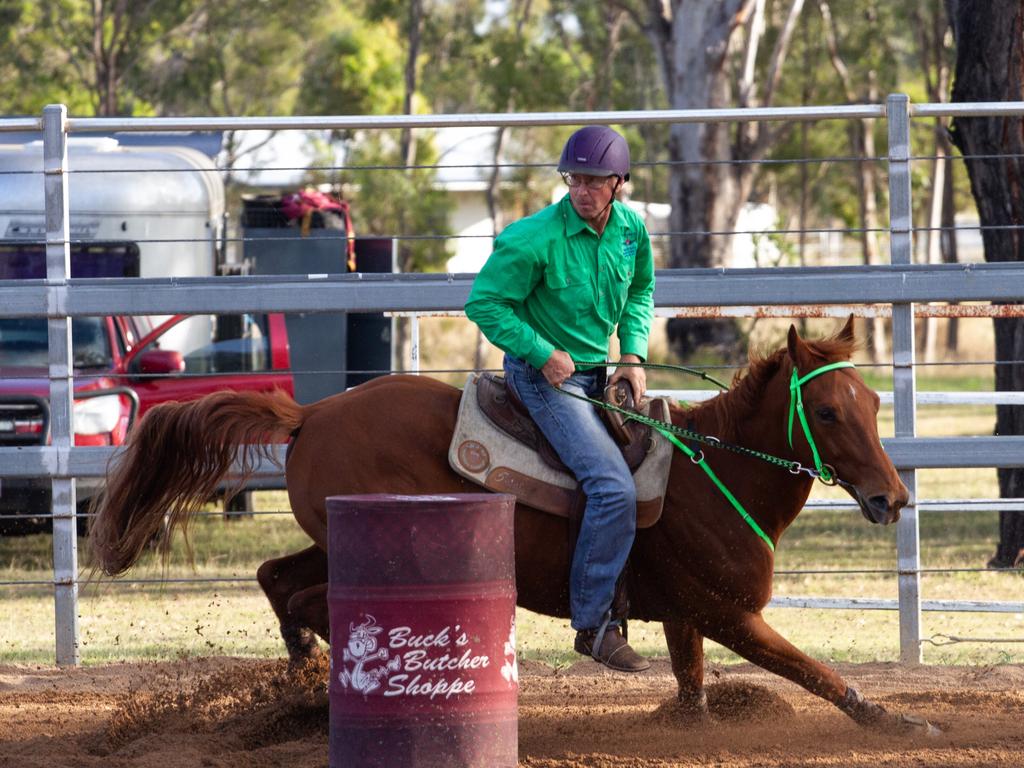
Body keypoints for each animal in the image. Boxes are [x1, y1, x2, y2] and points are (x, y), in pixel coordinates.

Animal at [90, 319, 937, 733]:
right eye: (825, 411)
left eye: (872, 403)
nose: (892, 498)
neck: (713, 473)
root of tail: (310, 415)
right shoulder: (730, 615)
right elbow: (815, 672)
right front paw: (897, 721)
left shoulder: (688, 616)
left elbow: (693, 686)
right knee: (306, 600)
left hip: (334, 542)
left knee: (277, 581)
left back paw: (302, 689)